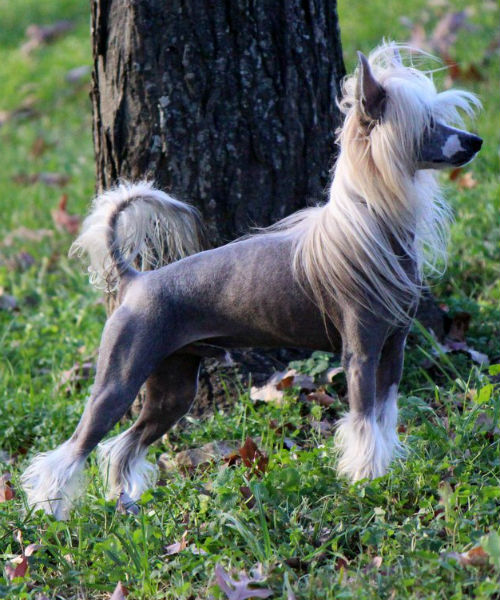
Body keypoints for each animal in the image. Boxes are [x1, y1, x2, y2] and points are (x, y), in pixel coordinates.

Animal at [20, 43, 480, 520]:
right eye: (426, 124)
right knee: (73, 449)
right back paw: (48, 512)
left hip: (174, 388)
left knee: (123, 446)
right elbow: (364, 424)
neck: (372, 227)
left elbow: (384, 420)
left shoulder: (393, 351)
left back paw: (124, 502)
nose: (475, 142)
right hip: (119, 380)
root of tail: (135, 279)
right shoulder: (361, 354)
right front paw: (366, 482)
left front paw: (384, 472)